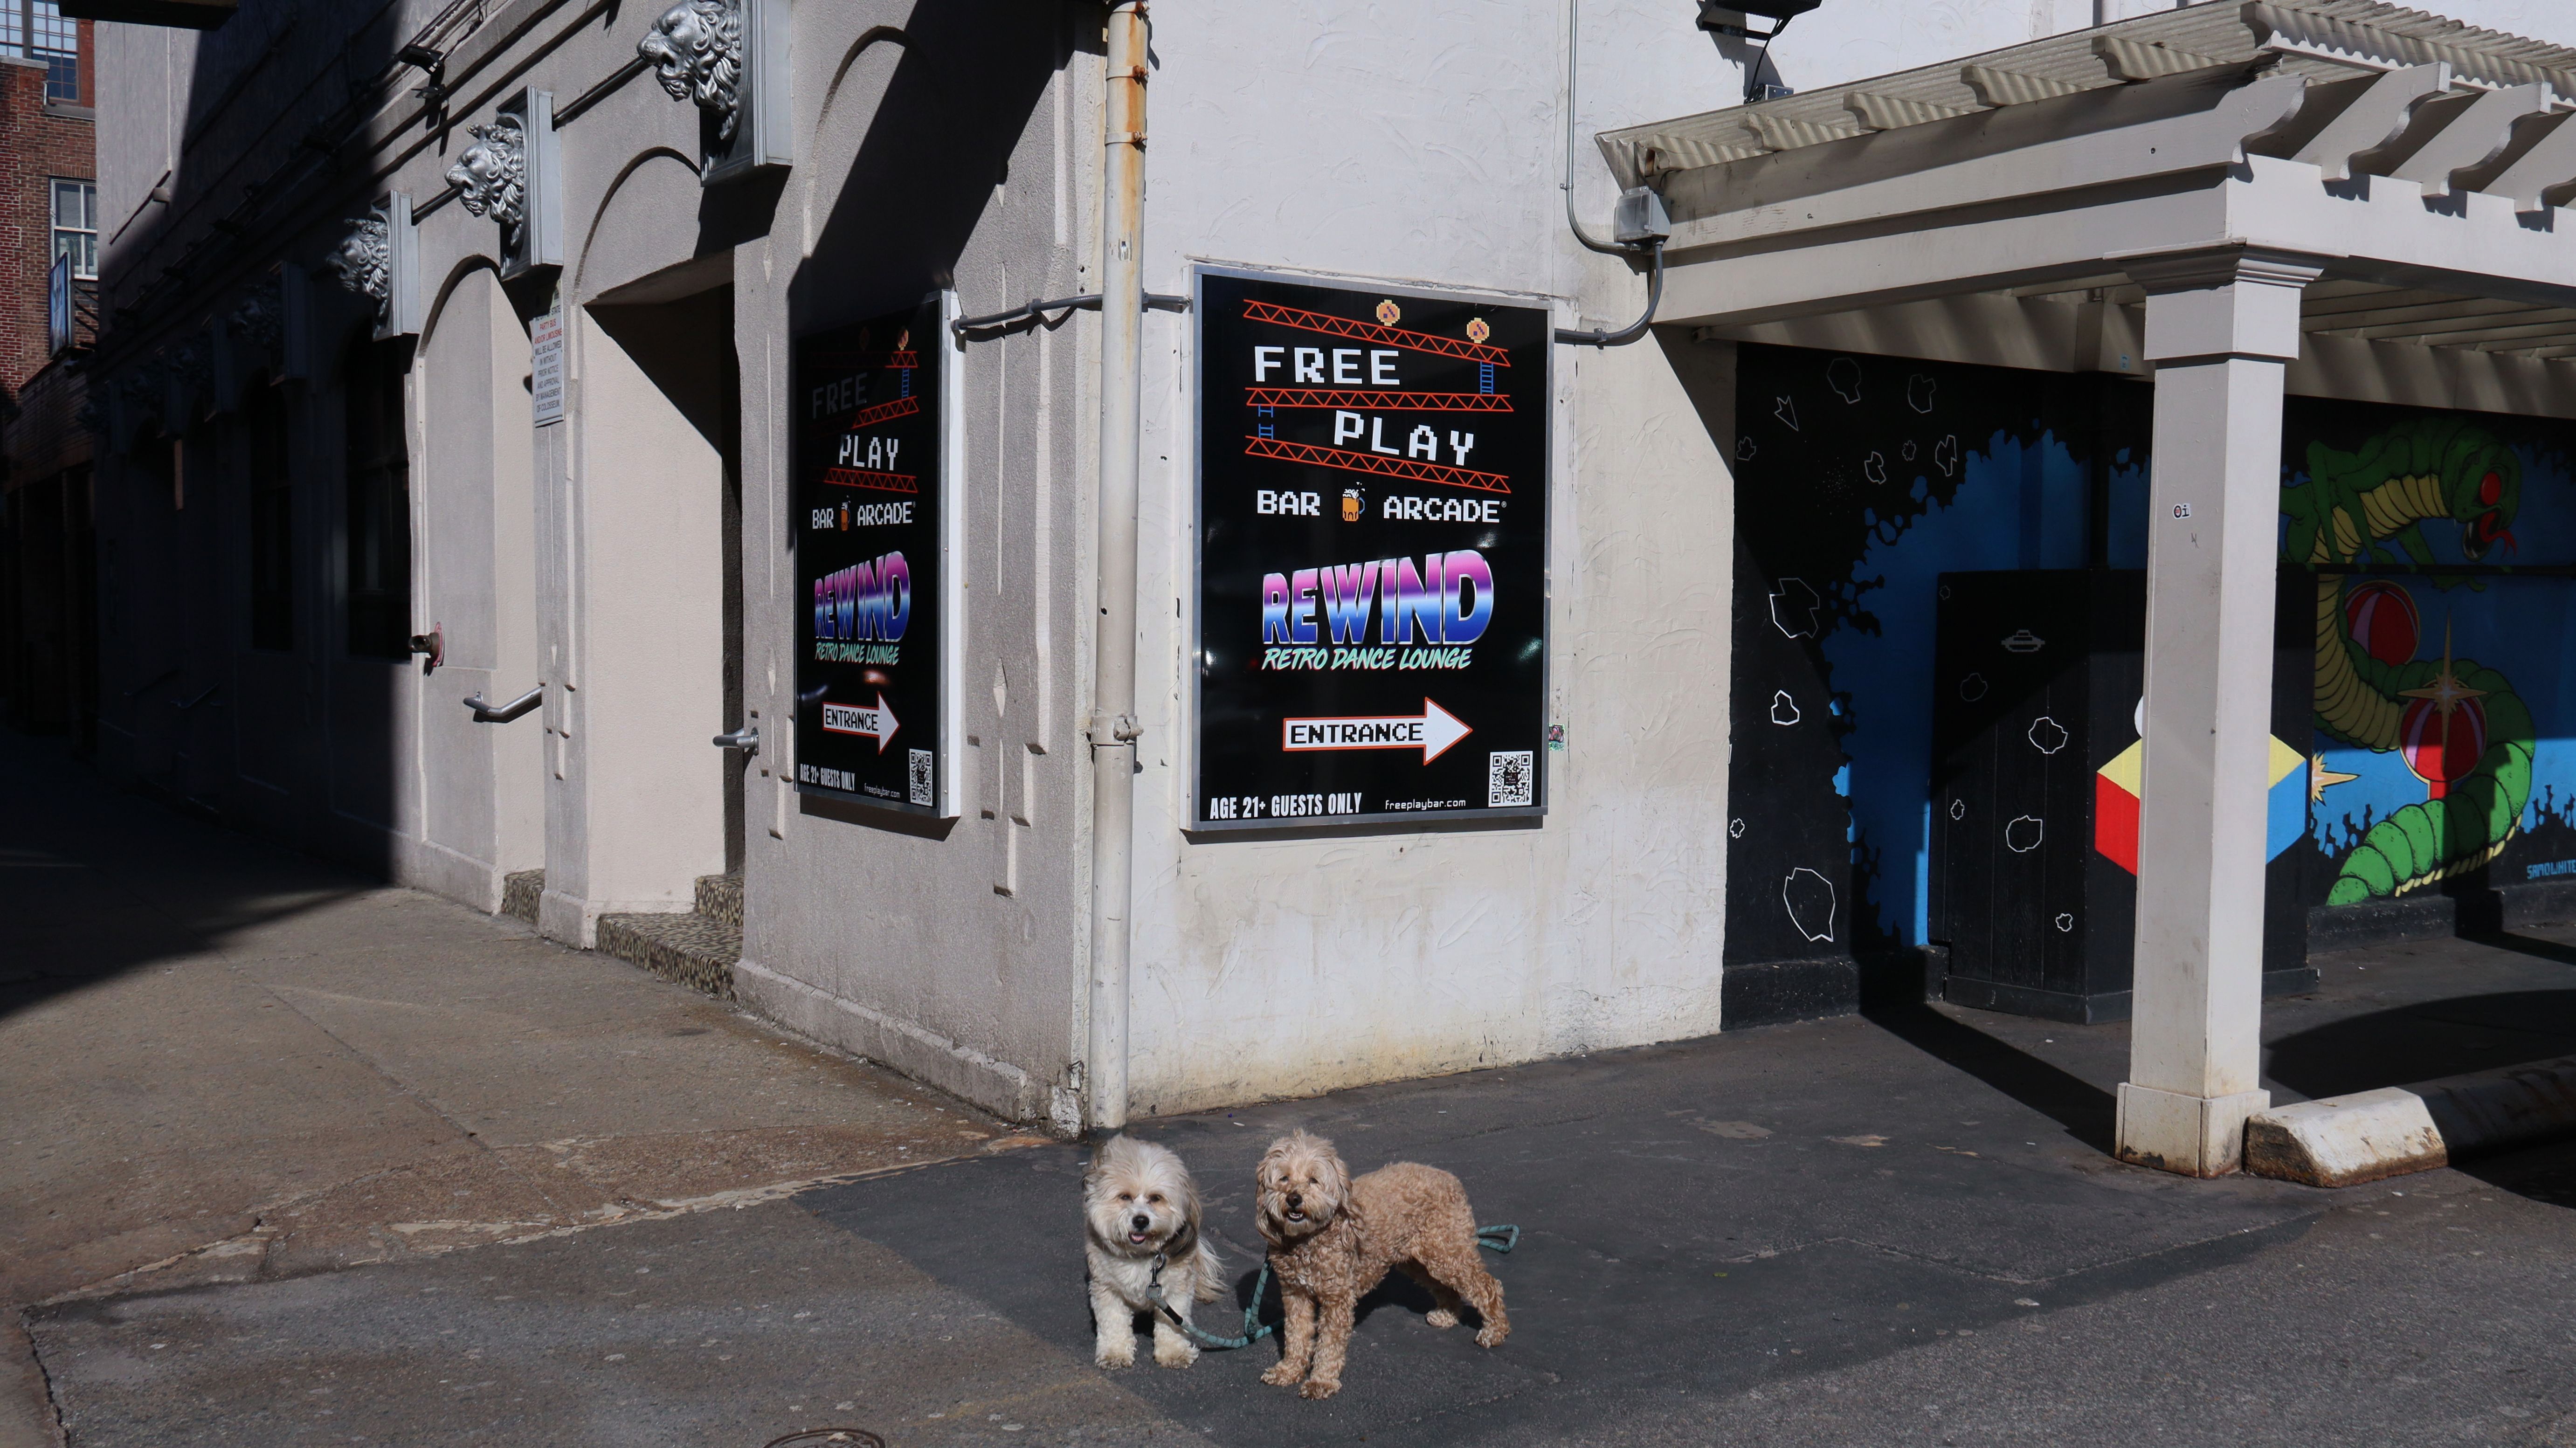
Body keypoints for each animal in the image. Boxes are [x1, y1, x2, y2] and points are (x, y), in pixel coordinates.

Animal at [1083, 1134, 1222, 1369]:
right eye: (1125, 1197)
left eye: (1156, 1198)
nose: (1141, 1220)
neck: (1140, 1256)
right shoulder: (1107, 1289)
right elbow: (1113, 1322)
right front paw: (1115, 1353)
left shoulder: (1175, 1291)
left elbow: (1173, 1324)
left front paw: (1174, 1352)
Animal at [1254, 1130, 1508, 1399]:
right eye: (1284, 1178)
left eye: (1313, 1180)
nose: (1294, 1198)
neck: (1309, 1239)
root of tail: (1449, 1178)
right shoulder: (1295, 1293)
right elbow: (1296, 1335)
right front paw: (1289, 1370)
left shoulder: (1337, 1298)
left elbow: (1330, 1342)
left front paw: (1321, 1381)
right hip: (1419, 1260)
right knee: (1444, 1287)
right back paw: (1448, 1314)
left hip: (1447, 1252)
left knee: (1487, 1286)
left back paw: (1495, 1330)